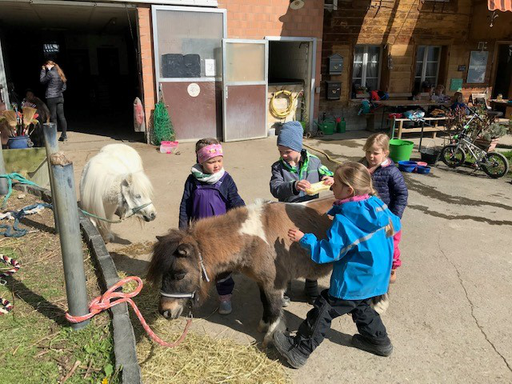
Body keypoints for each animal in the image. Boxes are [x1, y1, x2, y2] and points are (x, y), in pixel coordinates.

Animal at [146, 198, 386, 344]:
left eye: (179, 273)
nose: (165, 311)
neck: (254, 239)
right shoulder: (263, 282)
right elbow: (266, 304)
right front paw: (264, 325)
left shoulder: (274, 284)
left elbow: (275, 307)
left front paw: (272, 335)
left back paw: (379, 303)